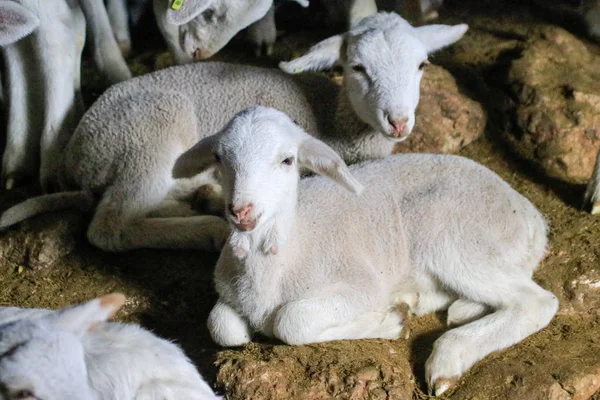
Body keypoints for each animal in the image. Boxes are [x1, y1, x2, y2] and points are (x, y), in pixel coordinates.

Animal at [0, 12, 468, 253]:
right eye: (357, 67)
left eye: (422, 65)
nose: (399, 121)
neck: (335, 123)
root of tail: (76, 154)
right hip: (147, 133)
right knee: (110, 227)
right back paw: (204, 229)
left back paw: (199, 200)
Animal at [177, 106, 556, 396]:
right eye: (218, 157)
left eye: (287, 160)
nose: (241, 211)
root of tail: (531, 216)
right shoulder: (227, 292)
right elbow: (222, 327)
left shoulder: (361, 282)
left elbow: (292, 322)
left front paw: (388, 321)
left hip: (455, 237)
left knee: (538, 302)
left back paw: (448, 358)